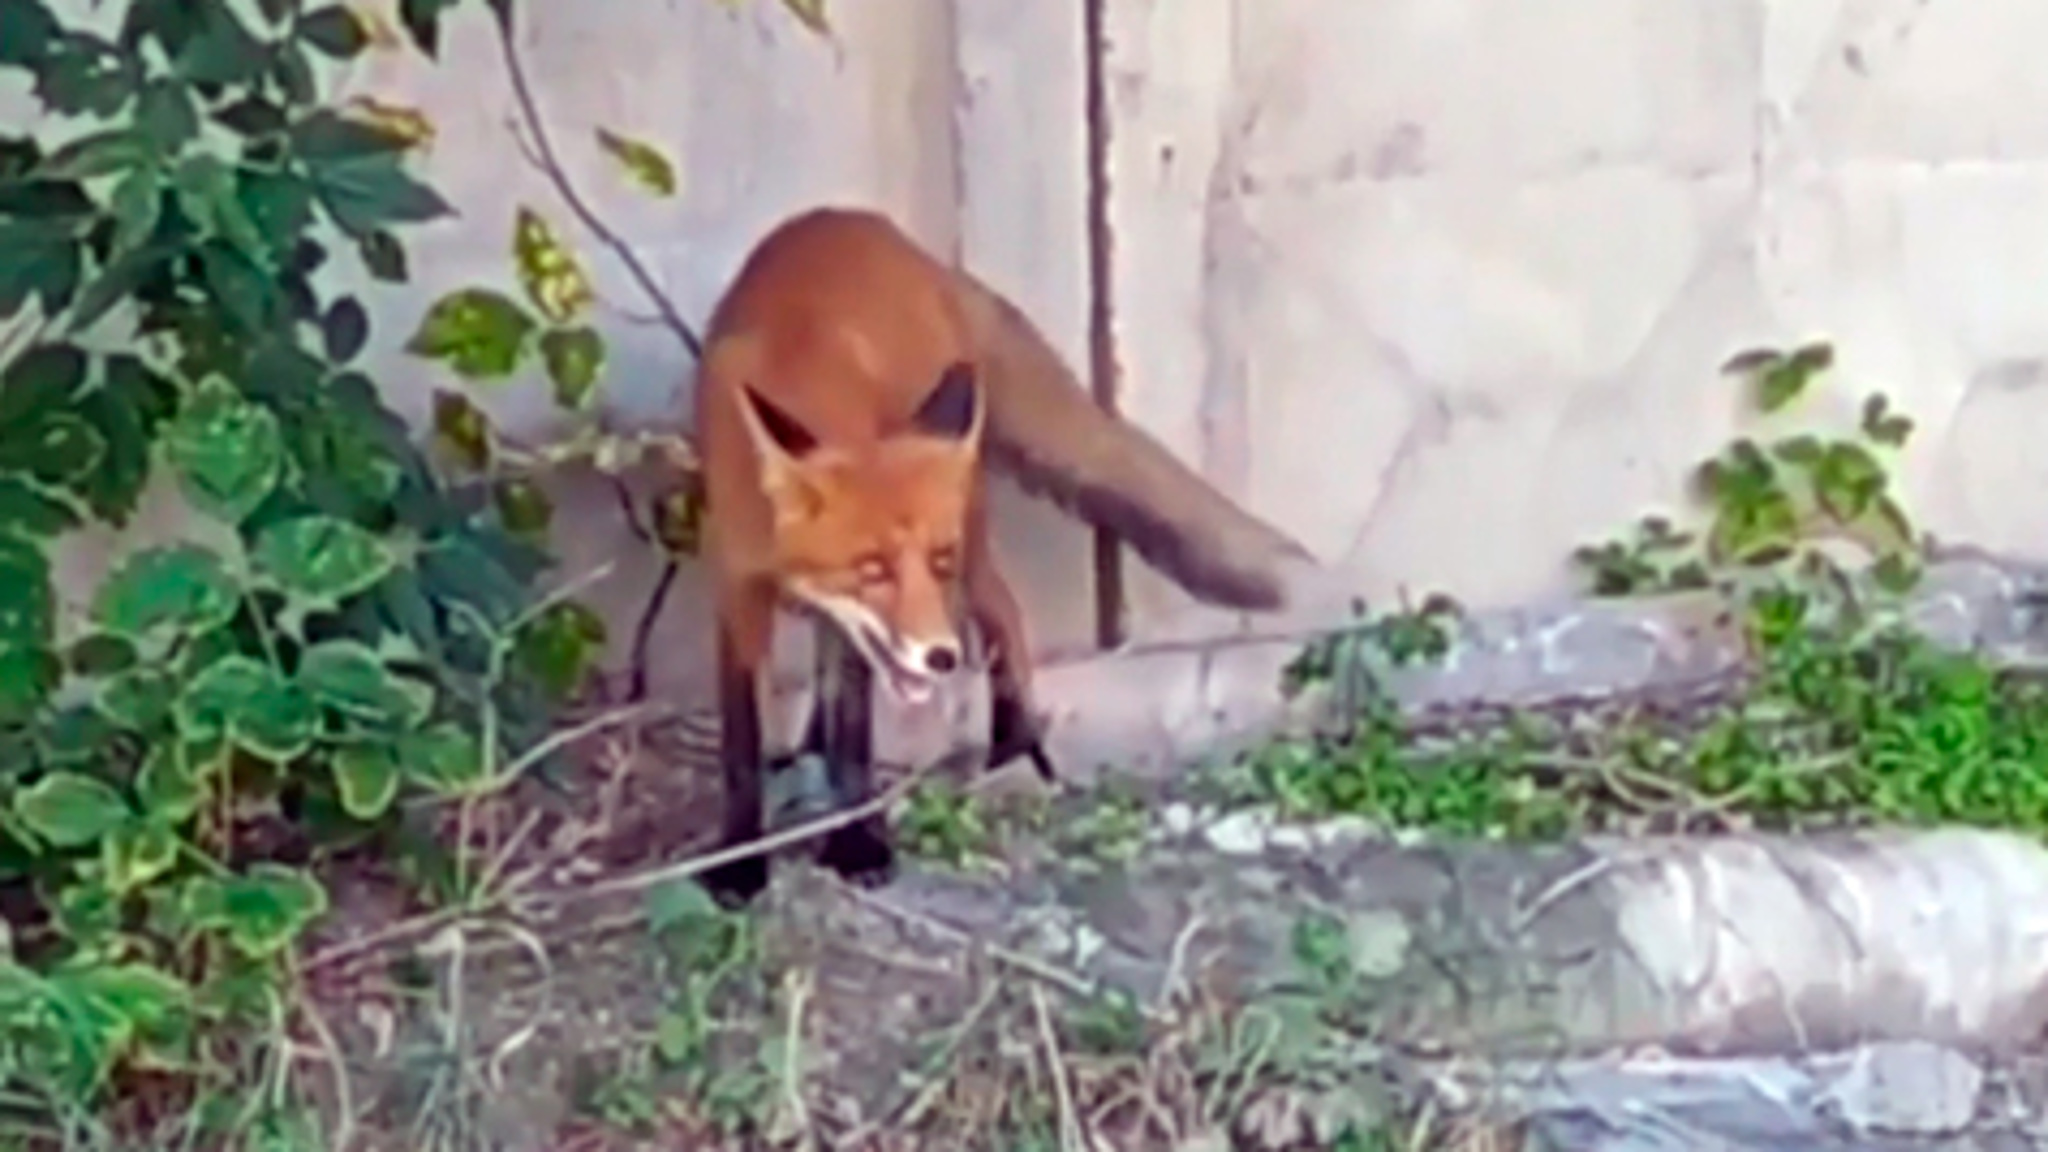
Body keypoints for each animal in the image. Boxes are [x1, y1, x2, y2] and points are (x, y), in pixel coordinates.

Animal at [691, 205, 1316, 907]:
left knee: (1003, 611)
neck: (807, 367)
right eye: (871, 569)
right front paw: (741, 859)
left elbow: (853, 733)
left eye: (934, 559)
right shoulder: (738, 593)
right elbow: (743, 744)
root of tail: (892, 237)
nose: (940, 657)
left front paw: (857, 844)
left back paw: (1015, 746)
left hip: (973, 531)